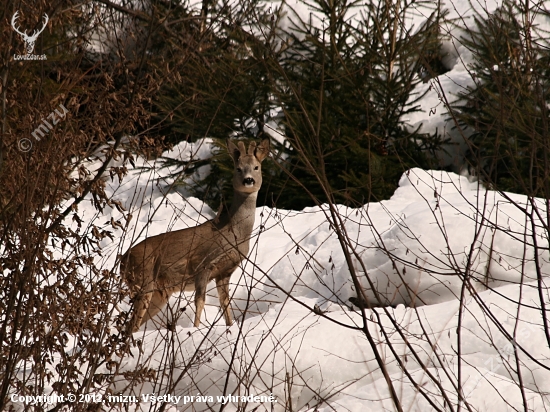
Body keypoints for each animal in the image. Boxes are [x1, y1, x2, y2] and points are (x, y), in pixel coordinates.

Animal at [124, 138, 272, 332]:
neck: (233, 233)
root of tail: (123, 260)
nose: (248, 180)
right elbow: (199, 300)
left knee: (131, 325)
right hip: (143, 280)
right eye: (238, 168)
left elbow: (225, 302)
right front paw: (196, 329)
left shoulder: (225, 271)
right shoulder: (203, 264)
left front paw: (230, 327)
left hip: (158, 293)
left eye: (256, 167)